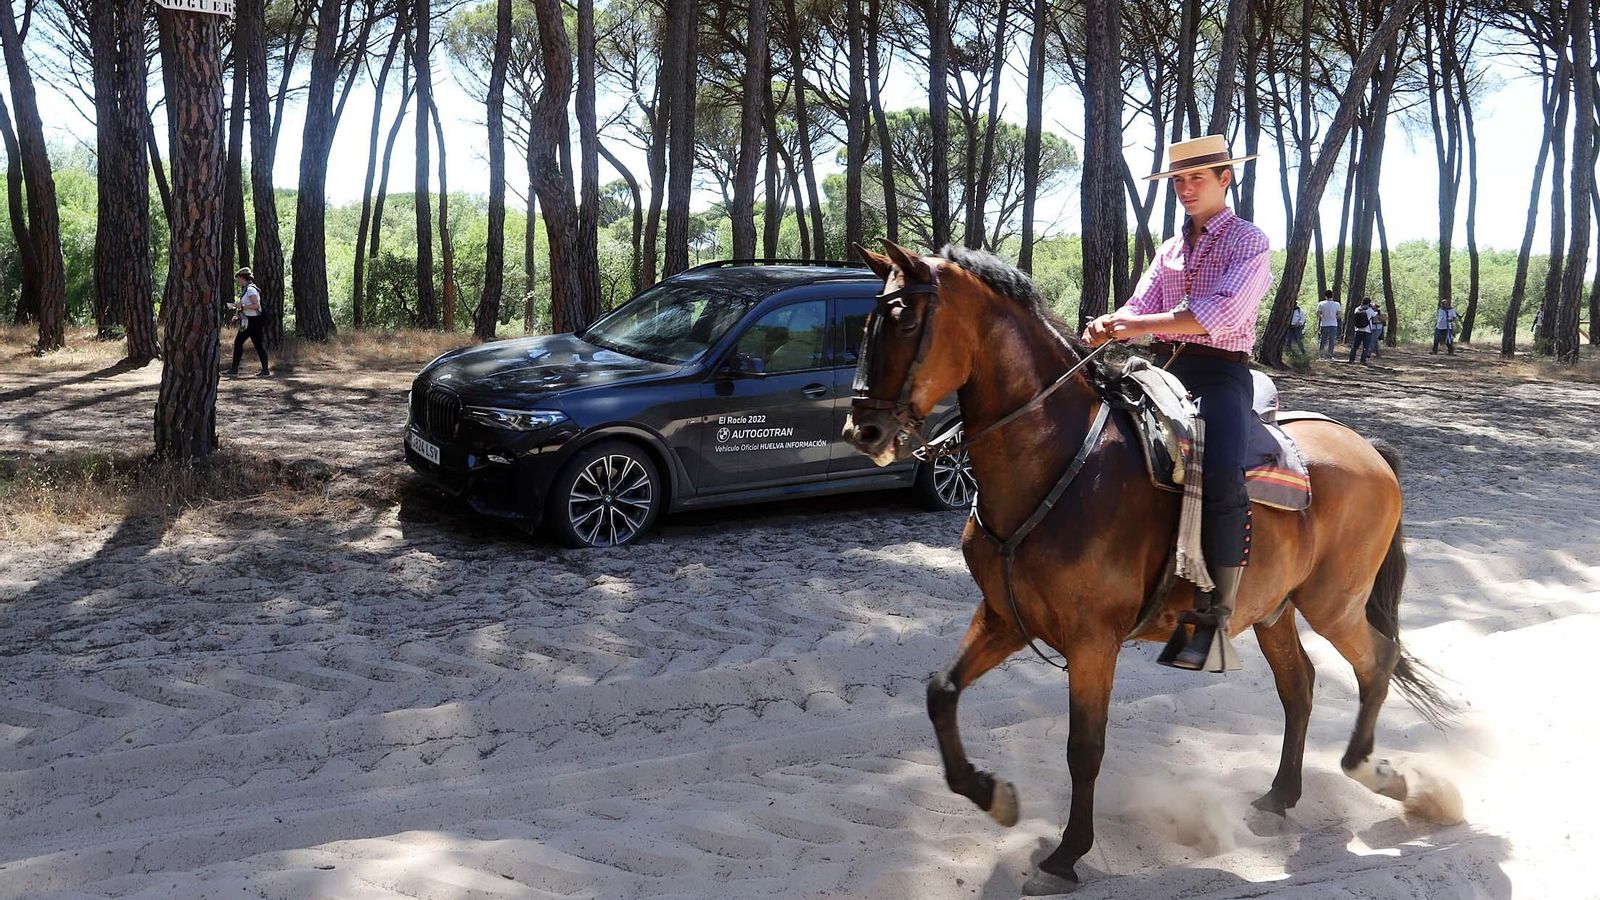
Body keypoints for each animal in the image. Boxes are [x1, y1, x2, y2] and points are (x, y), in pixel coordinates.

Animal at [842, 240, 1455, 892]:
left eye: (906, 319)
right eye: (869, 320)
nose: (864, 429)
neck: (1059, 460)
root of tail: (1369, 450)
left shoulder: (1093, 640)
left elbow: (1084, 747)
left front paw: (1066, 855)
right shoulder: (1006, 617)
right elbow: (942, 691)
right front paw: (992, 794)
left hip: (1333, 603)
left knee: (1376, 662)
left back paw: (1380, 776)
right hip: (1275, 609)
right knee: (1300, 685)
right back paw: (1278, 798)